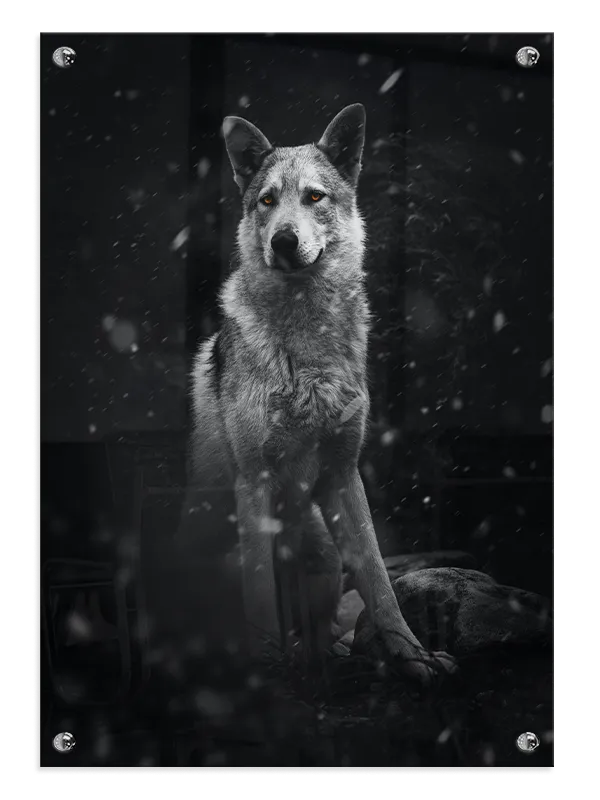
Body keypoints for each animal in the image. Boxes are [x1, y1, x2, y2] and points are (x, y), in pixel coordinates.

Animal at [184, 104, 455, 685]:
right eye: (267, 200)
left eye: (314, 197)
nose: (284, 241)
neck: (307, 350)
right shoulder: (254, 482)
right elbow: (260, 592)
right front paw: (263, 670)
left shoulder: (343, 473)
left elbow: (378, 579)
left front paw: (413, 654)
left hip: (325, 554)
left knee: (321, 637)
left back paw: (324, 660)